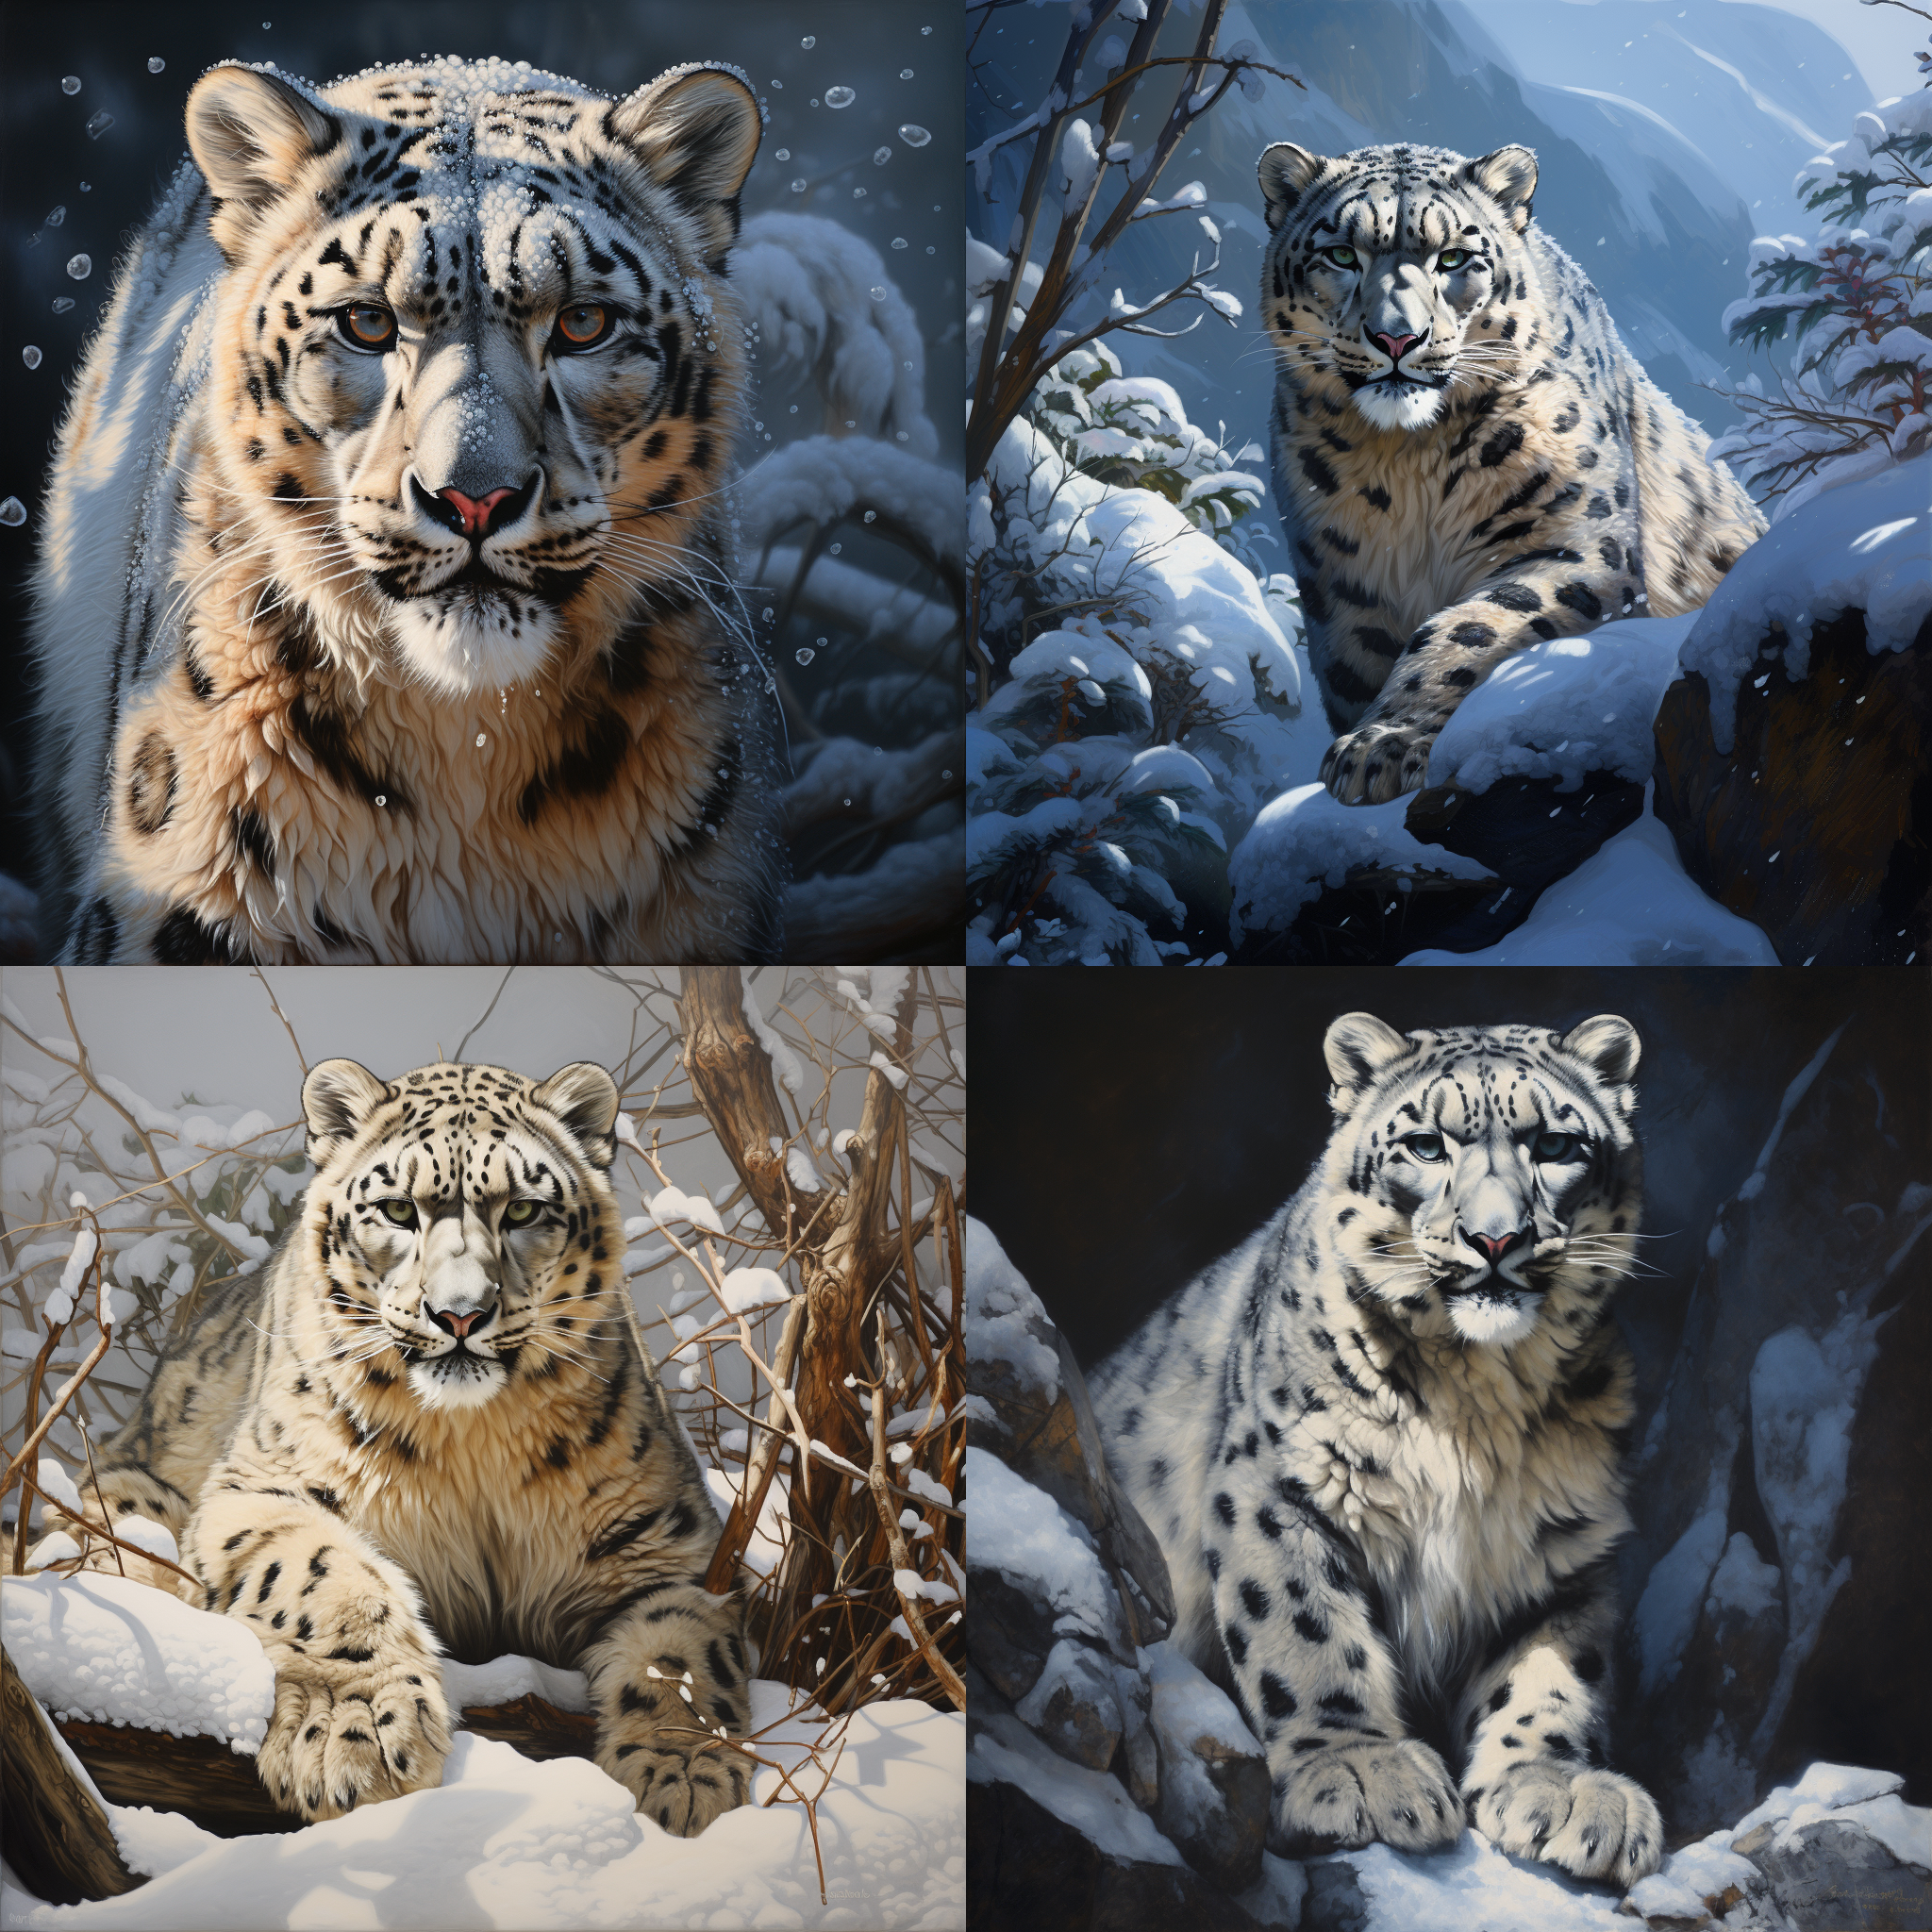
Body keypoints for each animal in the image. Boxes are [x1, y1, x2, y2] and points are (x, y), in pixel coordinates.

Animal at [46, 1055, 752, 1834]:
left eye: (524, 1210)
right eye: (397, 1210)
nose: (461, 1313)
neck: (474, 1443)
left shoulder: (661, 1540)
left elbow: (679, 1653)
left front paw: (686, 1774)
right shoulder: (262, 1487)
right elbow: (323, 1574)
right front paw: (354, 1736)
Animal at [1090, 1011, 1664, 1888]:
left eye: (1556, 1145)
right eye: (1426, 1145)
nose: (1496, 1237)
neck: (1475, 1406)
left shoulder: (1563, 1543)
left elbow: (1554, 1673)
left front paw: (1559, 1787)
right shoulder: (1279, 1487)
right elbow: (1303, 1630)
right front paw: (1357, 1767)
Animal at [1257, 139, 1766, 805]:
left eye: (1454, 257)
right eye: (1342, 253)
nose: (1396, 338)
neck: (1404, 460)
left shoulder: (1573, 541)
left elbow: (1473, 626)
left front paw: (1383, 747)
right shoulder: (1347, 581)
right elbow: (1364, 661)